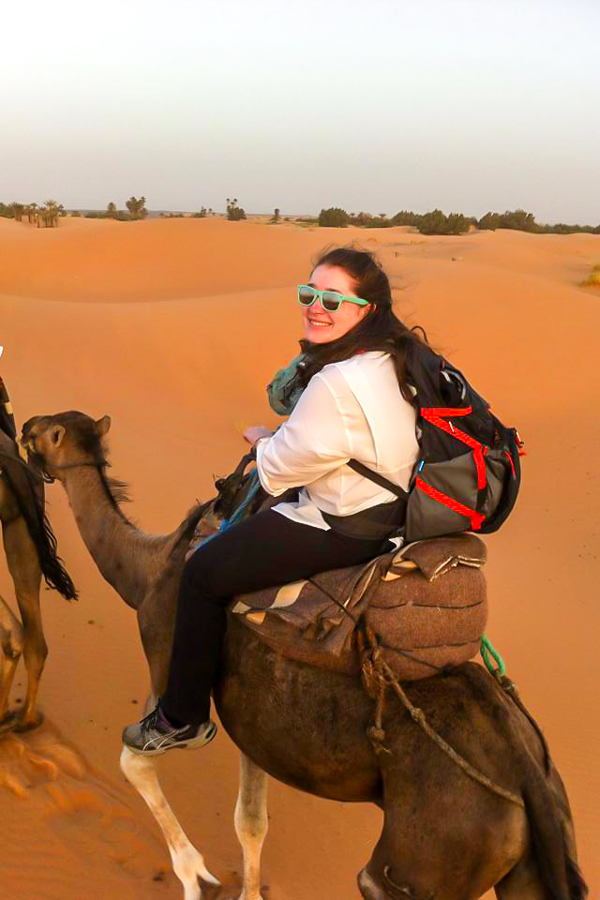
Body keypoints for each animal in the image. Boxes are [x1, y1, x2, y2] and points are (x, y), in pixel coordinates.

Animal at [21, 408, 588, 900]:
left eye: (44, 434)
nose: (22, 423)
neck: (148, 568)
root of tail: (529, 775)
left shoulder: (166, 651)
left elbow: (135, 761)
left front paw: (194, 878)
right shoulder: (256, 728)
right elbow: (250, 822)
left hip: (428, 858)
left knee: (378, 881)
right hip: (527, 858)